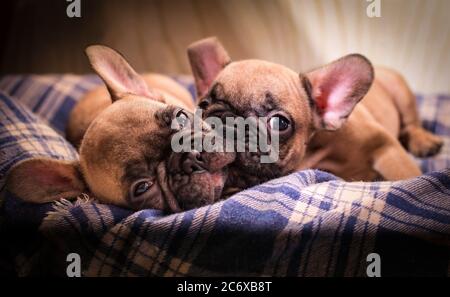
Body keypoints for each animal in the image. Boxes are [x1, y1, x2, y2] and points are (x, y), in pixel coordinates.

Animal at [187, 37, 442, 192]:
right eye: (203, 104)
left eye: (280, 123)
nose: (225, 122)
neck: (318, 154)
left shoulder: (385, 145)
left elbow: (407, 176)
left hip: (401, 92)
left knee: (412, 123)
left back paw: (424, 141)